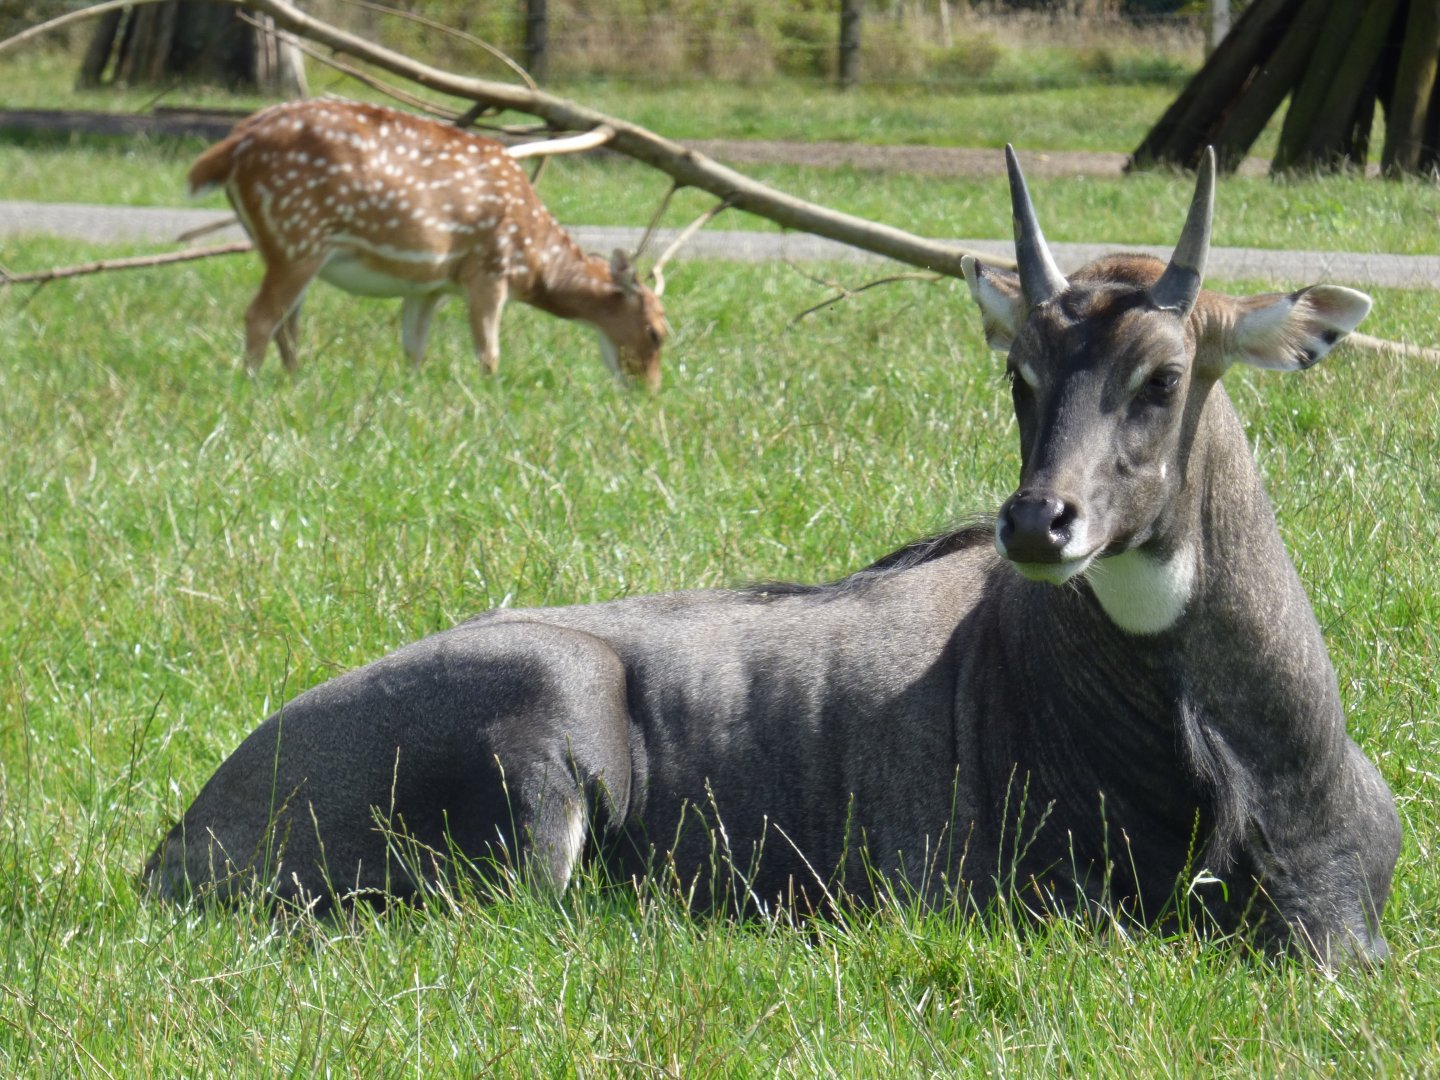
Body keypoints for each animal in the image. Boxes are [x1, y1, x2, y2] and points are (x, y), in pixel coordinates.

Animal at [146, 147, 1400, 967]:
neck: (1228, 751)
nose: (1039, 523)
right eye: (1021, 374)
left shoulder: (1350, 928)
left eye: (1163, 375)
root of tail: (180, 844)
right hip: (550, 725)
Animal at [186, 99, 668, 389]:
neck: (534, 261)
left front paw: (410, 393)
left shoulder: (429, 284)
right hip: (297, 235)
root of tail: (234, 145)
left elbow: (414, 348)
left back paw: (295, 382)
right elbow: (488, 351)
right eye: (657, 333)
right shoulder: (488, 267)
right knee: (262, 315)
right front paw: (490, 396)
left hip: (286, 243)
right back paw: (252, 386)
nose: (646, 391)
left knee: (288, 323)